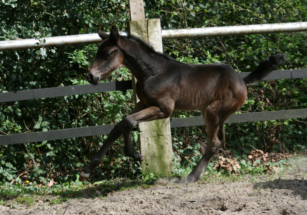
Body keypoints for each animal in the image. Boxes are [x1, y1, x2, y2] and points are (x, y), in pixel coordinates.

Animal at [80, 25, 286, 183]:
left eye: (107, 54)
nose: (91, 76)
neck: (153, 72)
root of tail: (242, 81)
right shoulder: (143, 104)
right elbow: (120, 124)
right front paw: (87, 170)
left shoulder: (164, 109)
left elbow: (129, 121)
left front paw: (135, 155)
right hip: (214, 114)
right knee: (219, 142)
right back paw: (196, 175)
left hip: (212, 112)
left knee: (214, 143)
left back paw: (190, 177)